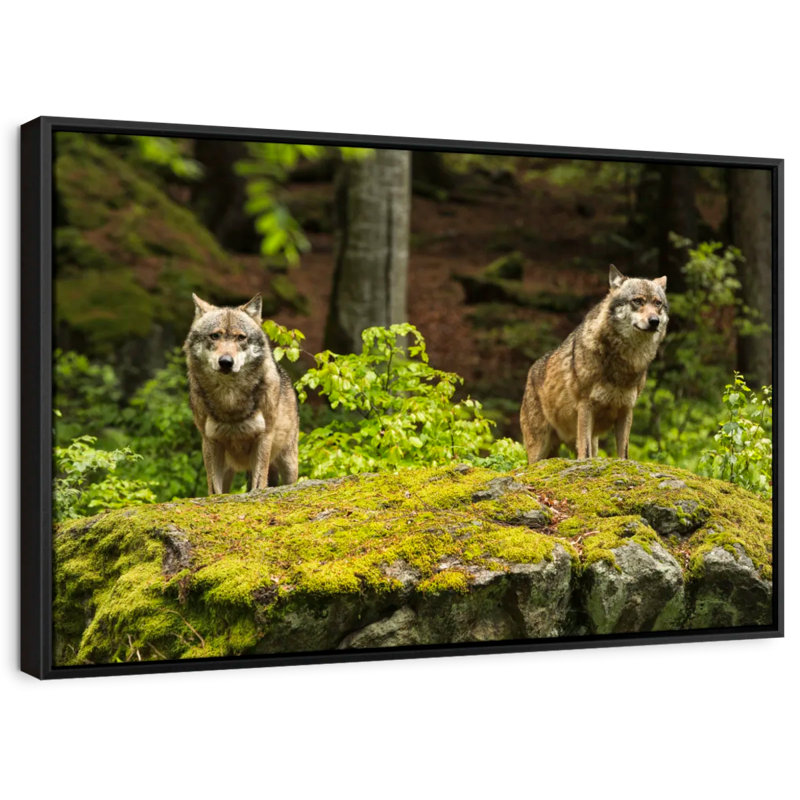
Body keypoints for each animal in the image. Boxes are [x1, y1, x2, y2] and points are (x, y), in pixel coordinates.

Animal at [184, 293, 299, 494]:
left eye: (240, 338)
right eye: (215, 335)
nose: (226, 362)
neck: (230, 398)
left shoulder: (263, 438)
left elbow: (259, 484)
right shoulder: (210, 441)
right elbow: (215, 490)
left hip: (288, 462)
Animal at [520, 265, 668, 461]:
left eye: (658, 303)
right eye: (638, 301)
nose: (654, 321)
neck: (624, 362)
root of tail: (530, 371)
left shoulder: (626, 410)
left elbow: (623, 454)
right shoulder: (585, 407)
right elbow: (586, 454)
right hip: (539, 450)